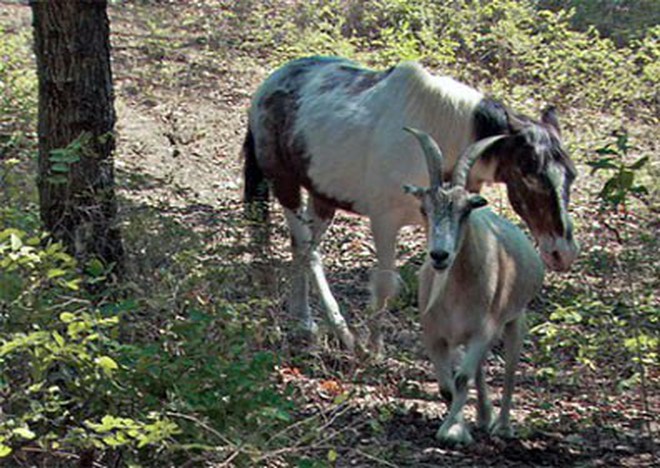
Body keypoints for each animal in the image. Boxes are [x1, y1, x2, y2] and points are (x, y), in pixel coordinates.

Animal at [404, 127, 544, 442]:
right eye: (424, 209)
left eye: (465, 210)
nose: (439, 255)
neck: (455, 292)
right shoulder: (435, 335)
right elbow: (447, 386)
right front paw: (458, 425)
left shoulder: (484, 330)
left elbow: (461, 378)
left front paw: (454, 432)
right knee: (478, 369)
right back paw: (483, 416)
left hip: (515, 318)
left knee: (510, 370)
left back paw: (502, 426)